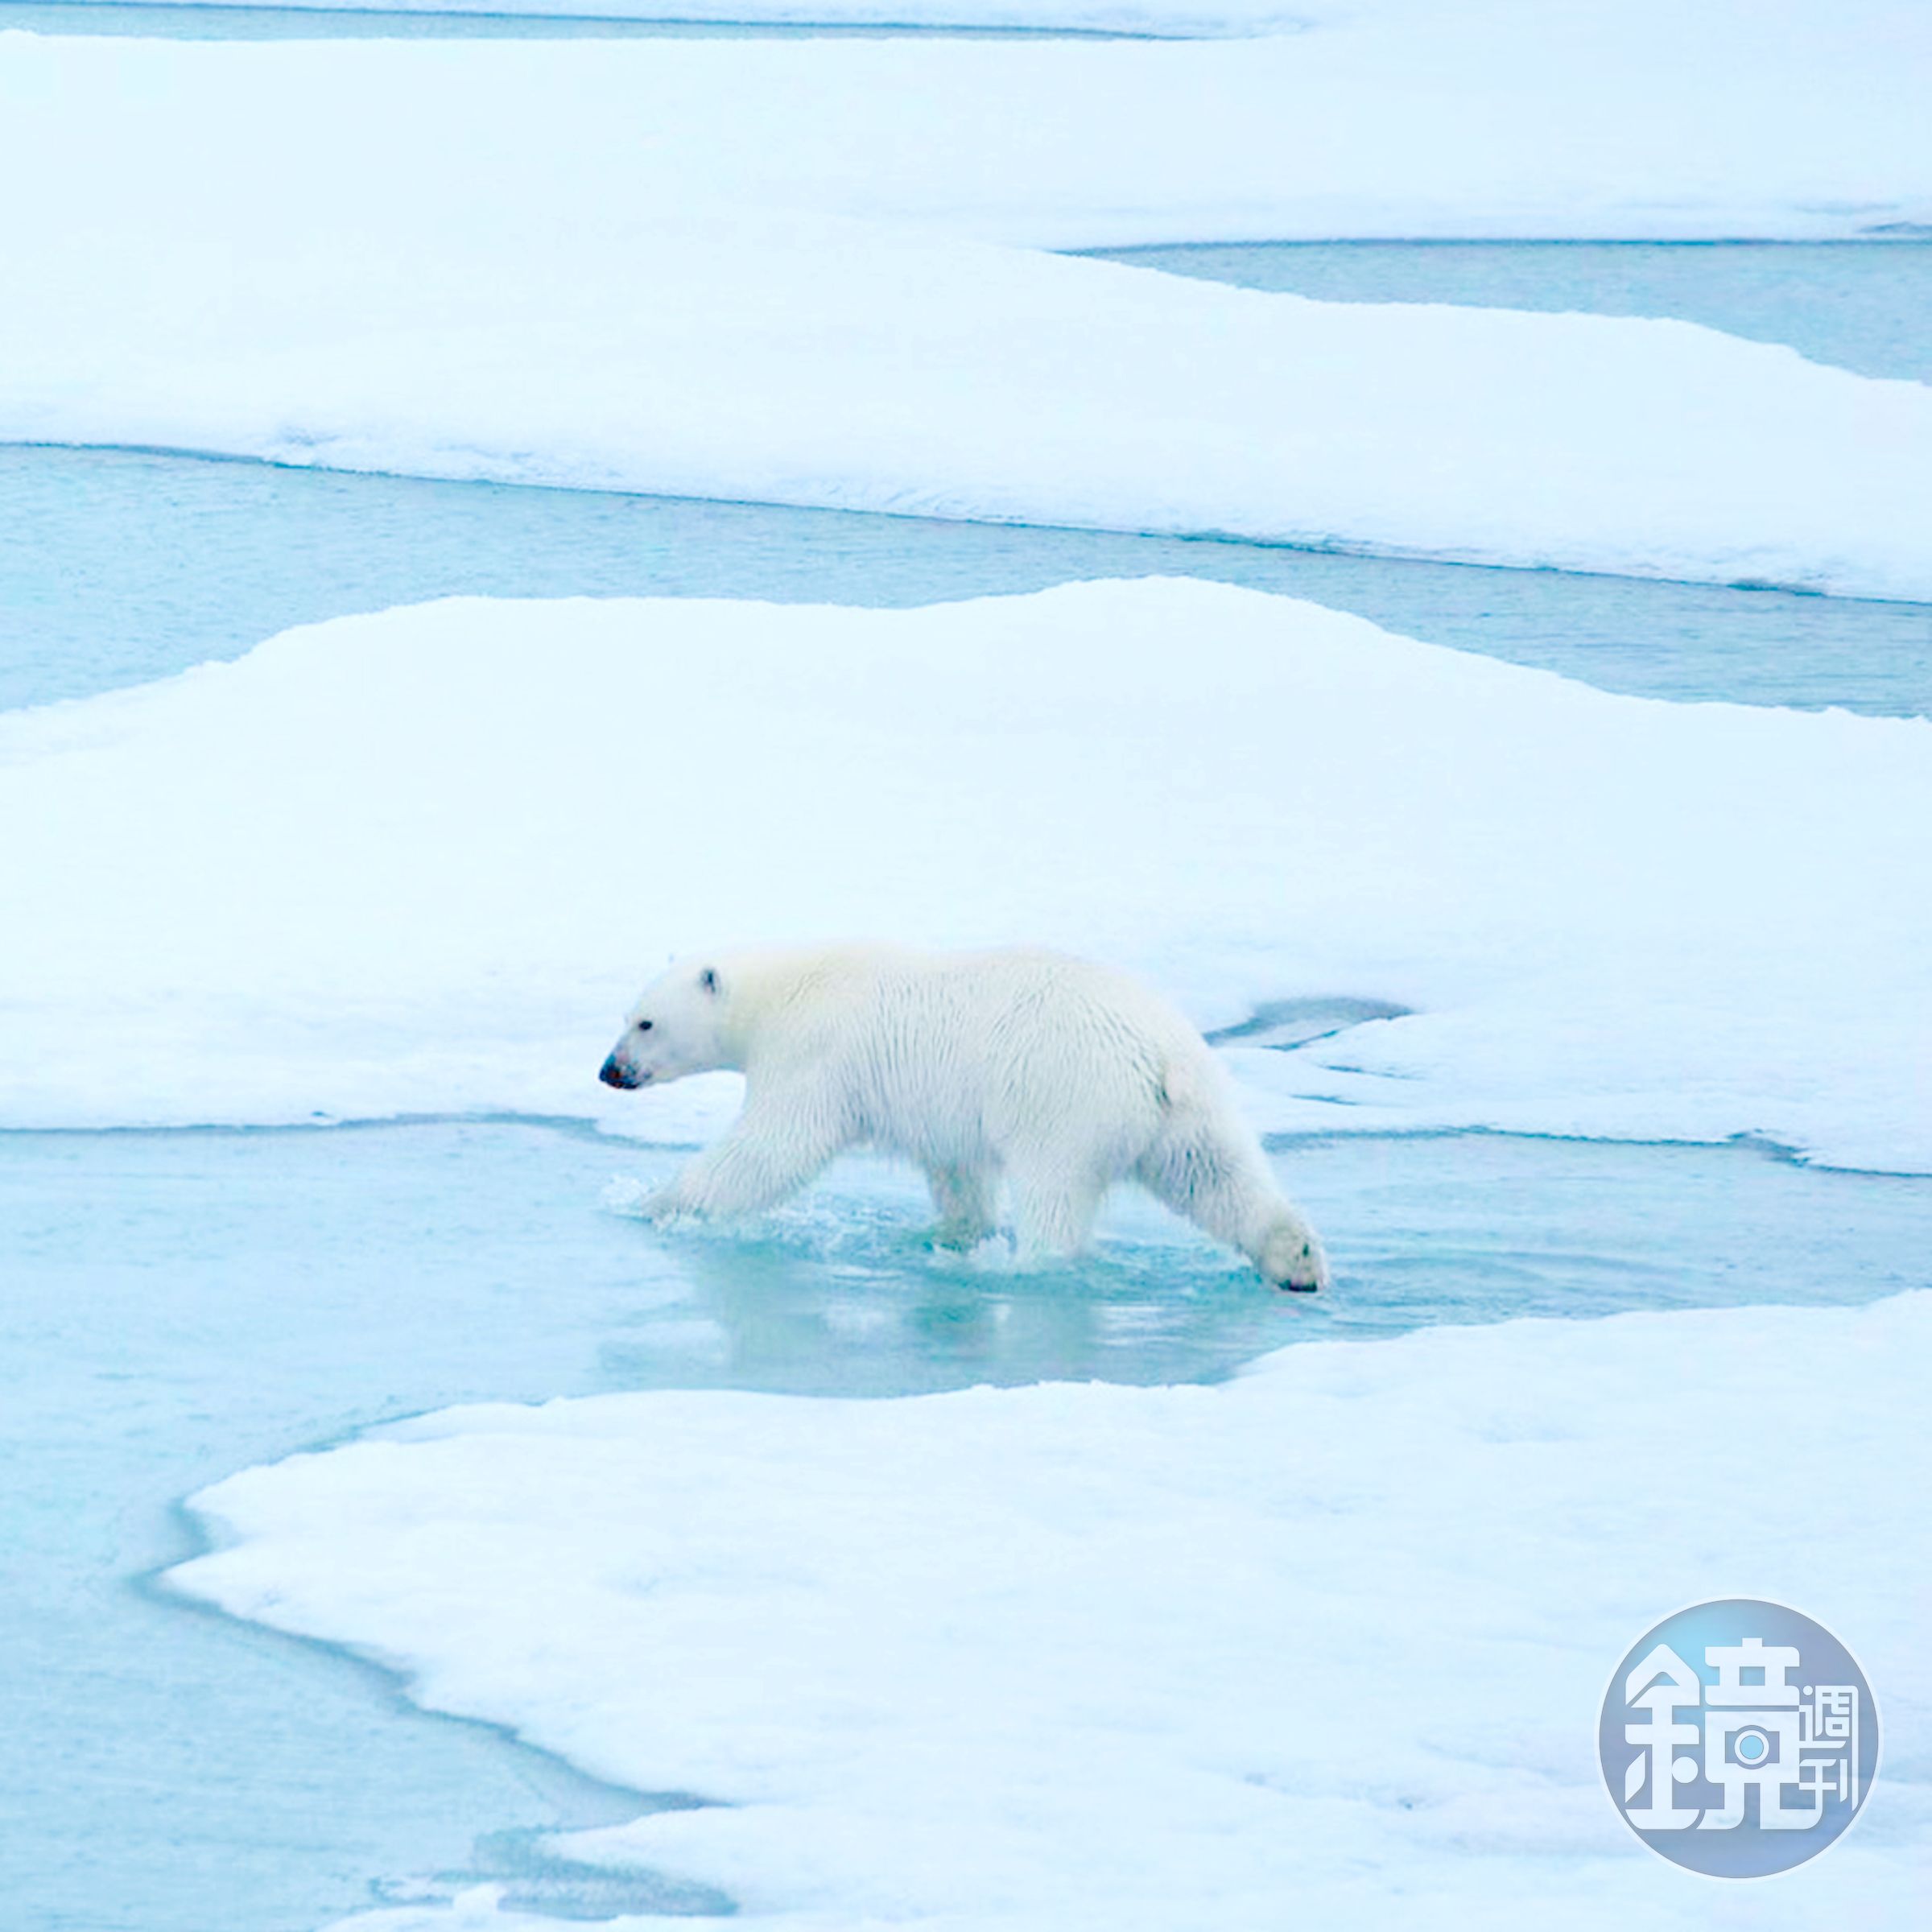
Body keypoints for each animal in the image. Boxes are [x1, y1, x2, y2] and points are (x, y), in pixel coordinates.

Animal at [598, 944, 1328, 1291]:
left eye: (645, 1022)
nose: (609, 1070)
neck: (784, 990)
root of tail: (1155, 1052)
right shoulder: (941, 1114)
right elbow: (958, 1173)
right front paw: (951, 1236)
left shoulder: (815, 1053)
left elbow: (772, 1148)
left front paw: (656, 1202)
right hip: (1189, 1106)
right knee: (1219, 1174)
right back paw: (1296, 1261)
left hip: (1063, 1097)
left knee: (1054, 1193)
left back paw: (1026, 1265)